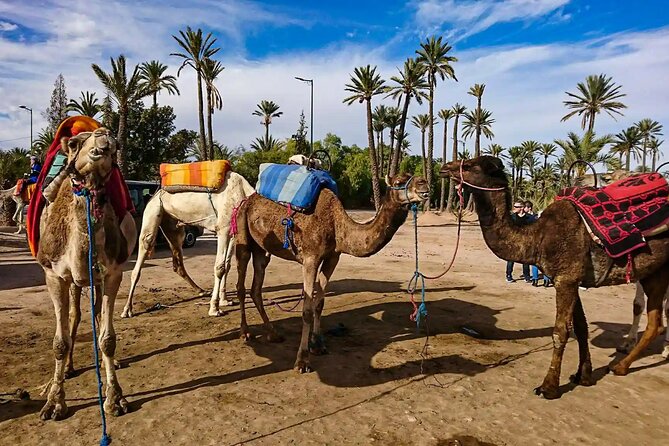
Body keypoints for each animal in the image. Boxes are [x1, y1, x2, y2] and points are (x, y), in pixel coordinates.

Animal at [36, 128, 136, 420]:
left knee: (94, 314)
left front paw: (115, 399)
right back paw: (66, 370)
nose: (103, 141)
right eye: (73, 143)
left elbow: (108, 338)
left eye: (116, 147)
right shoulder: (53, 275)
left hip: (94, 280)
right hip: (74, 281)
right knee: (75, 315)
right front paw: (54, 403)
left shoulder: (112, 273)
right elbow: (60, 342)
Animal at [122, 171, 255, 318]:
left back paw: (201, 290)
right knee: (144, 249)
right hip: (153, 211)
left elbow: (227, 265)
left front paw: (225, 301)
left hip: (174, 227)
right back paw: (127, 310)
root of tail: (155, 194)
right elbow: (220, 267)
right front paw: (214, 308)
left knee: (178, 262)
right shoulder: (223, 229)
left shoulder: (233, 231)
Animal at [234, 173, 430, 372]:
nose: (424, 184)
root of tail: (246, 201)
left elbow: (319, 304)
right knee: (241, 284)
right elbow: (306, 310)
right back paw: (245, 333)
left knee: (256, 286)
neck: (336, 226)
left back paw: (273, 334)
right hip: (242, 232)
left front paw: (318, 345)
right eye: (398, 182)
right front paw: (302, 361)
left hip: (261, 248)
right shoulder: (310, 259)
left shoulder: (332, 257)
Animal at [440, 156, 669, 399]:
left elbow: (560, 332)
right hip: (655, 272)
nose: (444, 168)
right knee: (655, 322)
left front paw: (548, 387)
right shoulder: (573, 279)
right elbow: (581, 328)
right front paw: (583, 376)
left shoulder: (566, 279)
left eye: (469, 165)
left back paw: (626, 362)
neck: (537, 237)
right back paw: (621, 366)